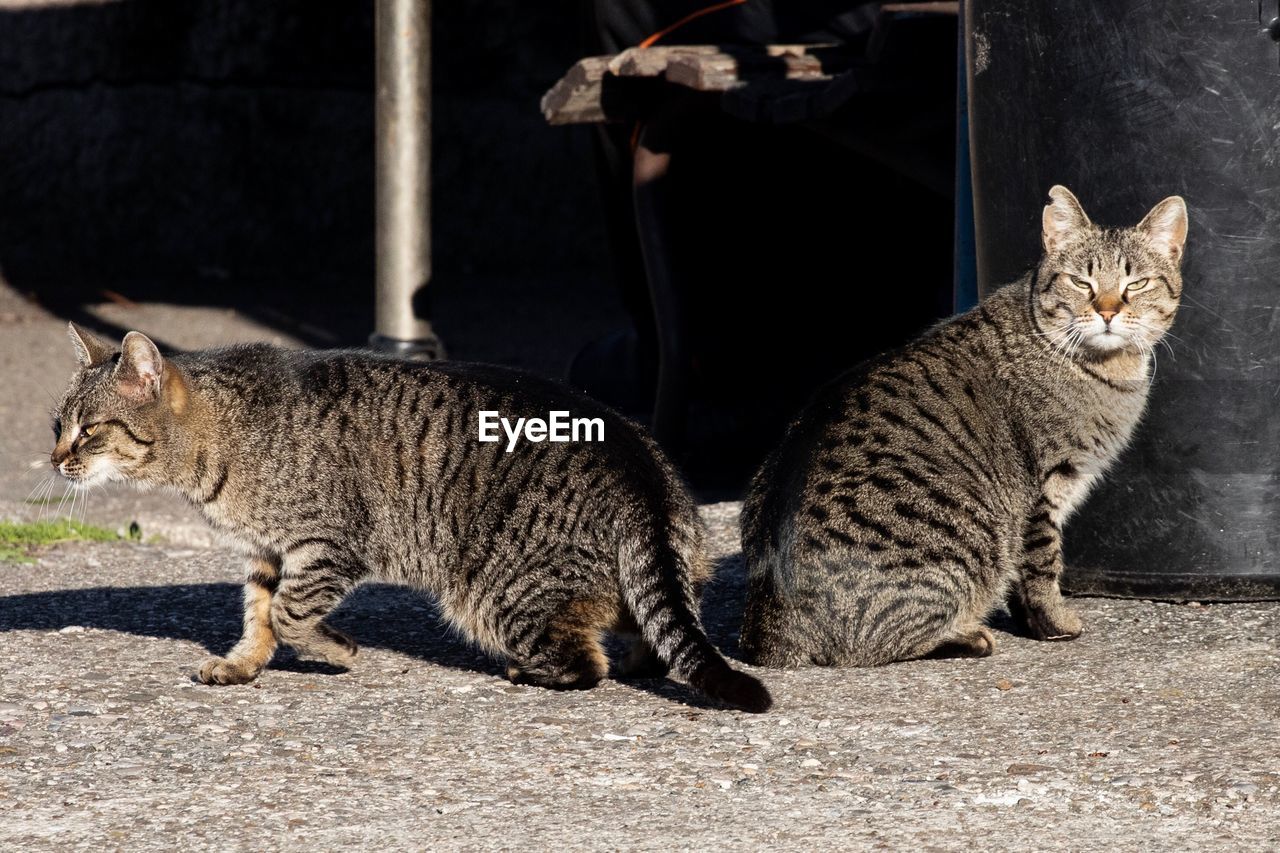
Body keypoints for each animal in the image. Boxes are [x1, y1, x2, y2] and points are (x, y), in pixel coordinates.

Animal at [52, 333, 768, 712]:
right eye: (58, 424)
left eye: (88, 431)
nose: (55, 458)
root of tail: (639, 469)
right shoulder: (266, 552)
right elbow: (259, 614)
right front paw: (243, 665)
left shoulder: (325, 544)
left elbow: (290, 612)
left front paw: (335, 649)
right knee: (643, 622)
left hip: (493, 596)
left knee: (587, 662)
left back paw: (533, 672)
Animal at [742, 185, 1187, 666]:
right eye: (1080, 282)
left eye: (1135, 283)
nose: (1107, 311)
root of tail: (770, 627)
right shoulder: (1044, 490)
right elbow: (1041, 567)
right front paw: (1056, 624)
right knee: (873, 645)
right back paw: (968, 636)